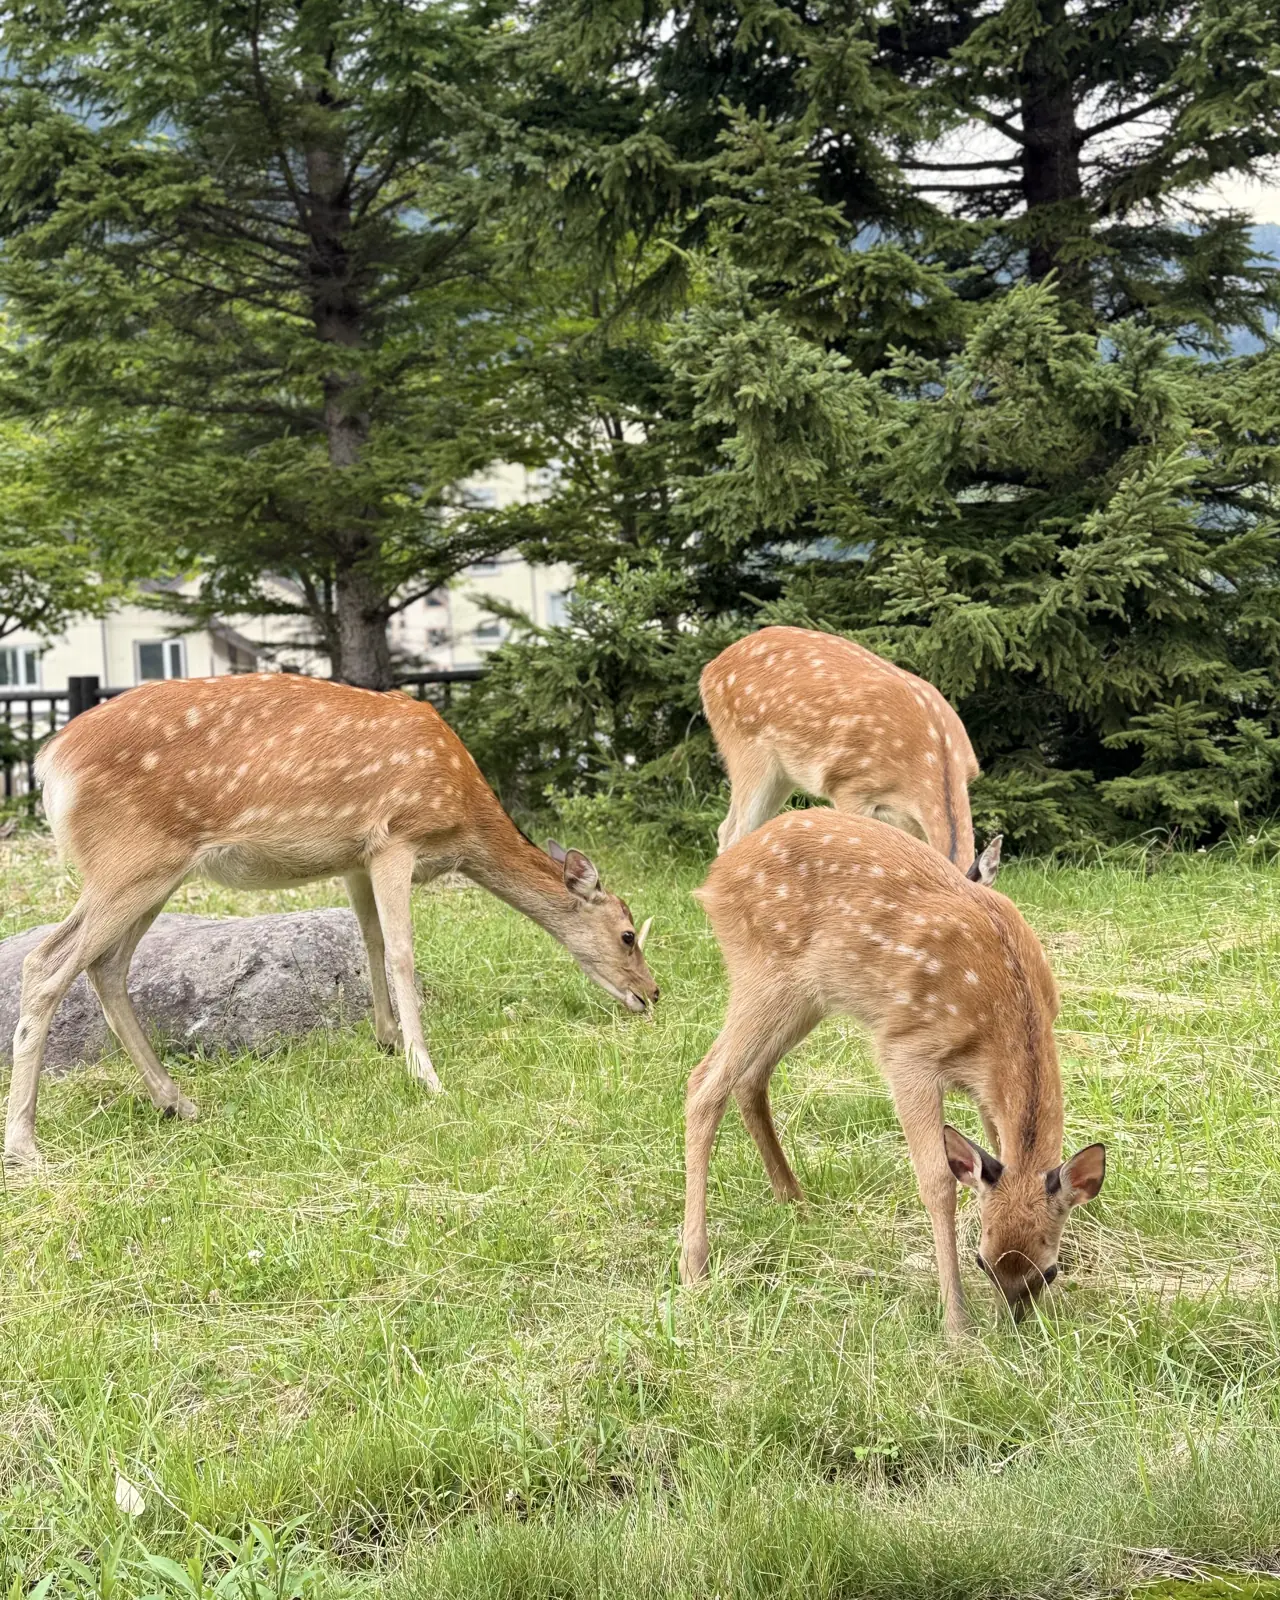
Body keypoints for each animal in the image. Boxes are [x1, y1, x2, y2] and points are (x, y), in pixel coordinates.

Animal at [5, 673, 658, 1168]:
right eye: (628, 935)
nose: (652, 994)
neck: (464, 824)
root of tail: (49, 764)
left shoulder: (354, 858)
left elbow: (370, 941)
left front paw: (387, 1041)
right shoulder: (396, 836)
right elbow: (402, 952)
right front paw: (427, 1075)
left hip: (152, 872)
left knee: (106, 964)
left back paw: (176, 1101)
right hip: (131, 859)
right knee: (47, 963)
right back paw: (25, 1146)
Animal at [679, 810, 1104, 1334]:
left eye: (1049, 1271)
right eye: (982, 1261)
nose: (1012, 1322)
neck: (1009, 1010)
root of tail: (714, 878)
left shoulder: (987, 1089)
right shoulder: (907, 1052)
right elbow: (938, 1183)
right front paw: (956, 1326)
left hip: (807, 997)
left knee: (749, 1079)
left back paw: (796, 1204)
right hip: (764, 975)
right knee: (704, 1084)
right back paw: (694, 1265)